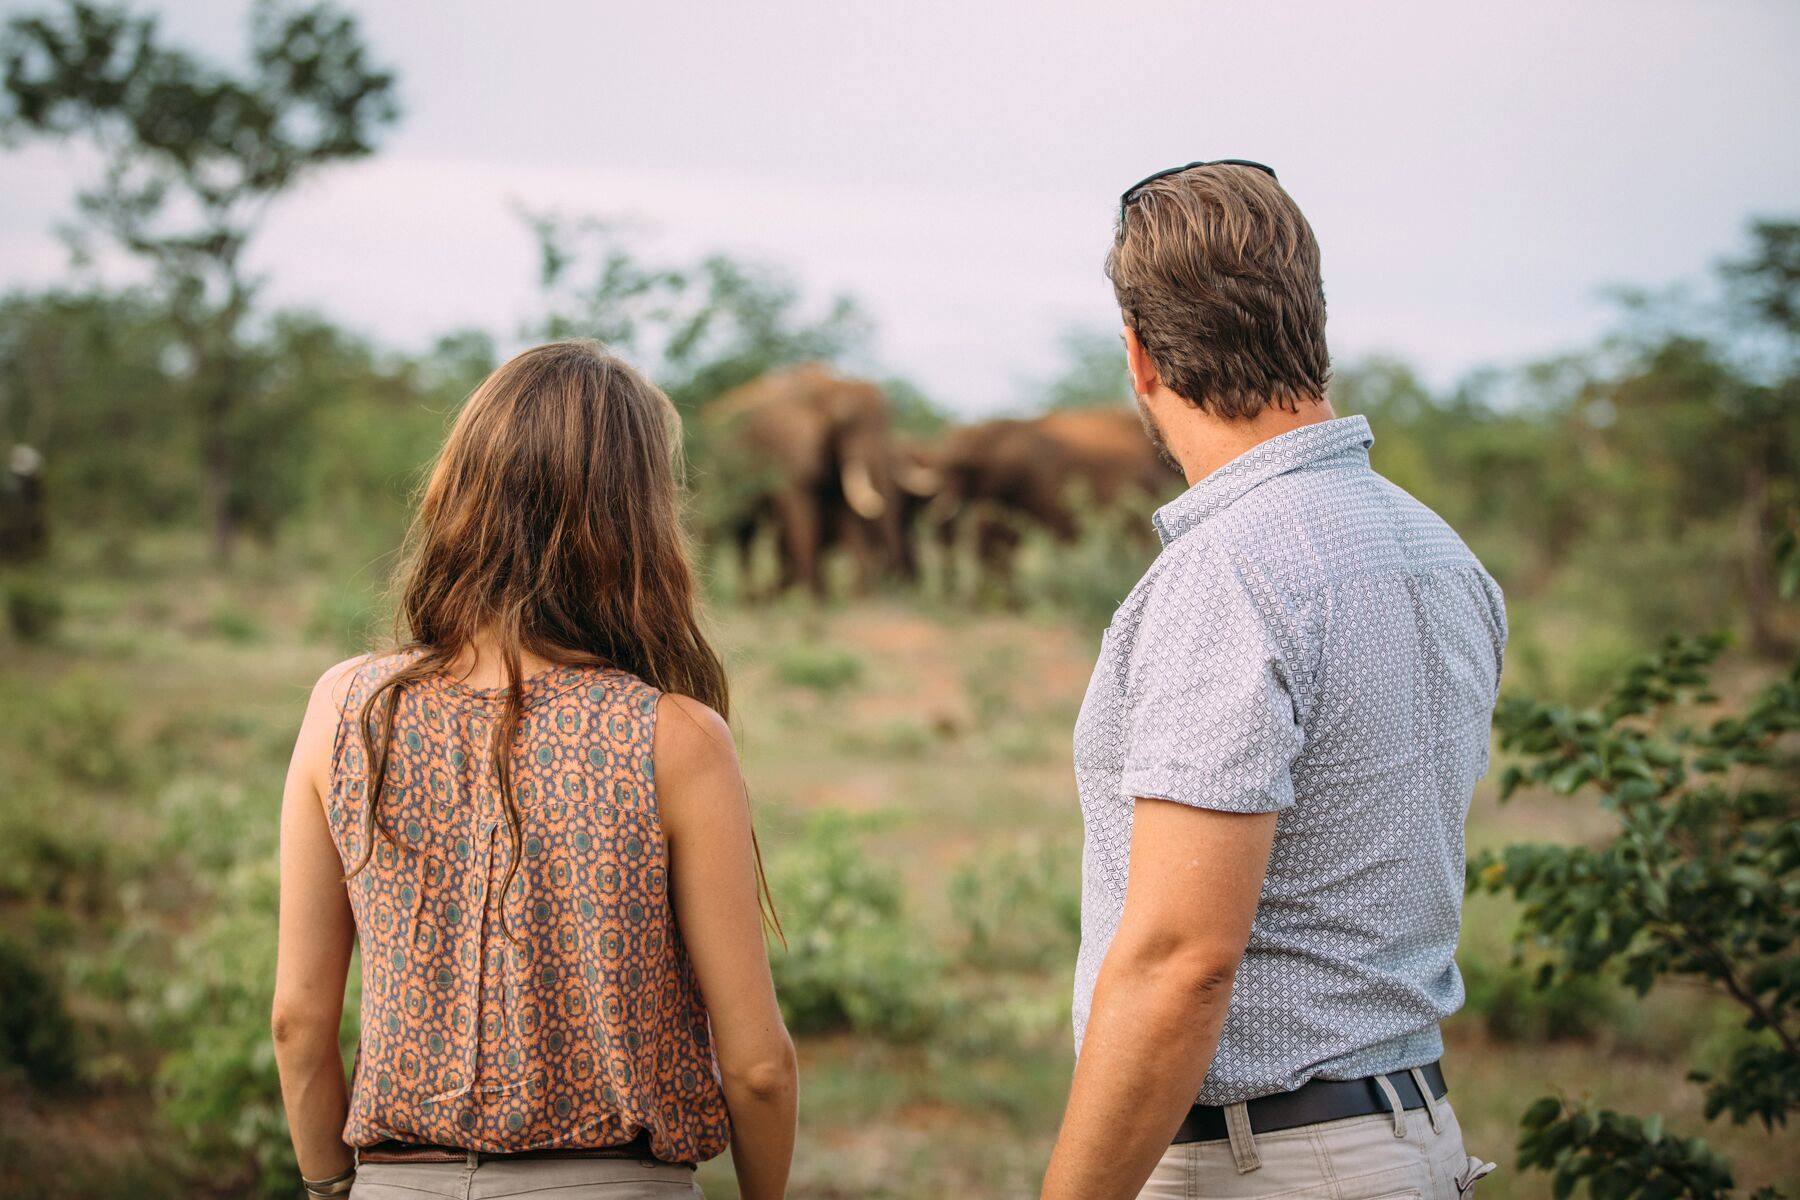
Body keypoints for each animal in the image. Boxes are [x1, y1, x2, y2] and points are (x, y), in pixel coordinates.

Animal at [698, 359, 914, 597]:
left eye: (888, 422)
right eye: (845, 423)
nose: (893, 581)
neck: (830, 386)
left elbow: (844, 511)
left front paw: (857, 597)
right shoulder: (787, 446)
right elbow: (800, 511)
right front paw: (813, 598)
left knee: (745, 531)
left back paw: (751, 597)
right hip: (714, 464)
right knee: (719, 521)